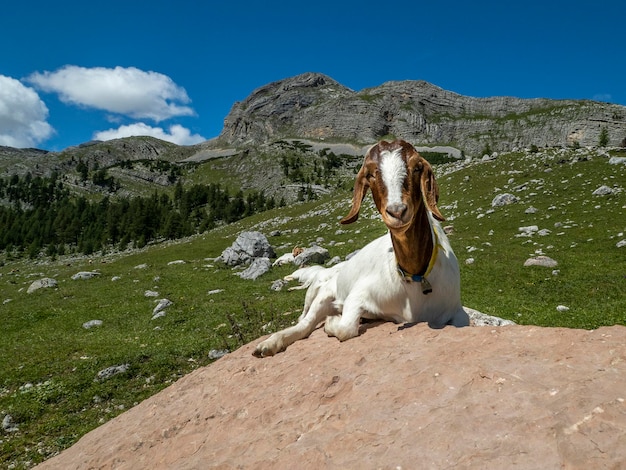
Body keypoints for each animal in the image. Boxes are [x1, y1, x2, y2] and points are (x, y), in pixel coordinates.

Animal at [254, 140, 468, 356]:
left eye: (417, 167)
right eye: (370, 174)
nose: (397, 211)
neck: (414, 278)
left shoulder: (455, 310)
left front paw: (332, 321)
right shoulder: (357, 295)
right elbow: (345, 328)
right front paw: (331, 322)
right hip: (318, 290)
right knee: (304, 322)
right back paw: (268, 344)